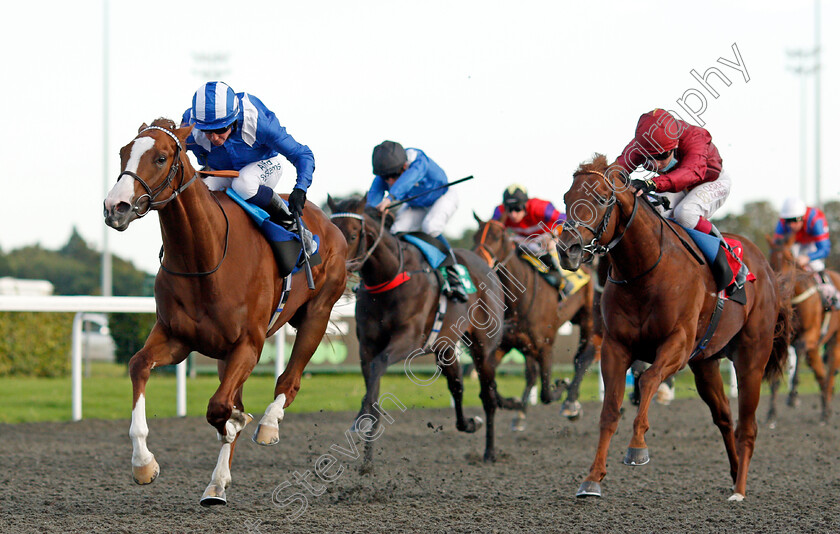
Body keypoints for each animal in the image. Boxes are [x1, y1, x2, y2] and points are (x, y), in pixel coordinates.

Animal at [103, 119, 346, 508]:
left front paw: (238, 421)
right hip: (222, 352)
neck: (206, 256)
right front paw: (144, 463)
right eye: (124, 152)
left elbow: (219, 406)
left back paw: (268, 425)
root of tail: (329, 224)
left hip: (316, 315)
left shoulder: (249, 344)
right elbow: (139, 364)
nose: (116, 207)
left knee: (288, 381)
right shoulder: (176, 337)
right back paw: (216, 485)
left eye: (160, 157)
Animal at [328, 198, 508, 468]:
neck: (390, 278)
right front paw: (367, 456)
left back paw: (489, 451)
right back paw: (468, 424)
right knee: (457, 386)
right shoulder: (366, 347)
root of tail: (484, 264)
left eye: (351, 235)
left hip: (483, 349)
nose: (338, 271)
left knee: (488, 397)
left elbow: (379, 366)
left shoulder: (409, 339)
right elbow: (372, 384)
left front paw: (362, 424)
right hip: (445, 347)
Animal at [470, 215, 600, 432]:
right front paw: (513, 404)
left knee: (584, 357)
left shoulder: (545, 345)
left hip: (589, 320)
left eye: (498, 236)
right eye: (475, 235)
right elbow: (491, 384)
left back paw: (570, 403)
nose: (479, 260)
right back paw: (522, 413)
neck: (518, 298)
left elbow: (546, 393)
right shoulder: (506, 343)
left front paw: (562, 385)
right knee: (533, 373)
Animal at [556, 154, 792, 502]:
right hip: (705, 363)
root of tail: (765, 266)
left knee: (747, 426)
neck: (644, 271)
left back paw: (739, 490)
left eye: (600, 198)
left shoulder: (677, 343)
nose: (567, 249)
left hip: (752, 357)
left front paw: (637, 448)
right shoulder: (615, 346)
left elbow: (649, 380)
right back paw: (735, 472)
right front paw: (592, 479)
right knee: (725, 417)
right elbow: (609, 410)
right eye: (566, 198)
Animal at [768, 234, 840, 428]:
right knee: (820, 373)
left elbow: (799, 351)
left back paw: (826, 410)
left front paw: (793, 397)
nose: (780, 285)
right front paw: (771, 414)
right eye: (770, 259)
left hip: (834, 340)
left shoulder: (809, 335)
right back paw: (826, 409)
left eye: (788, 259)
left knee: (829, 370)